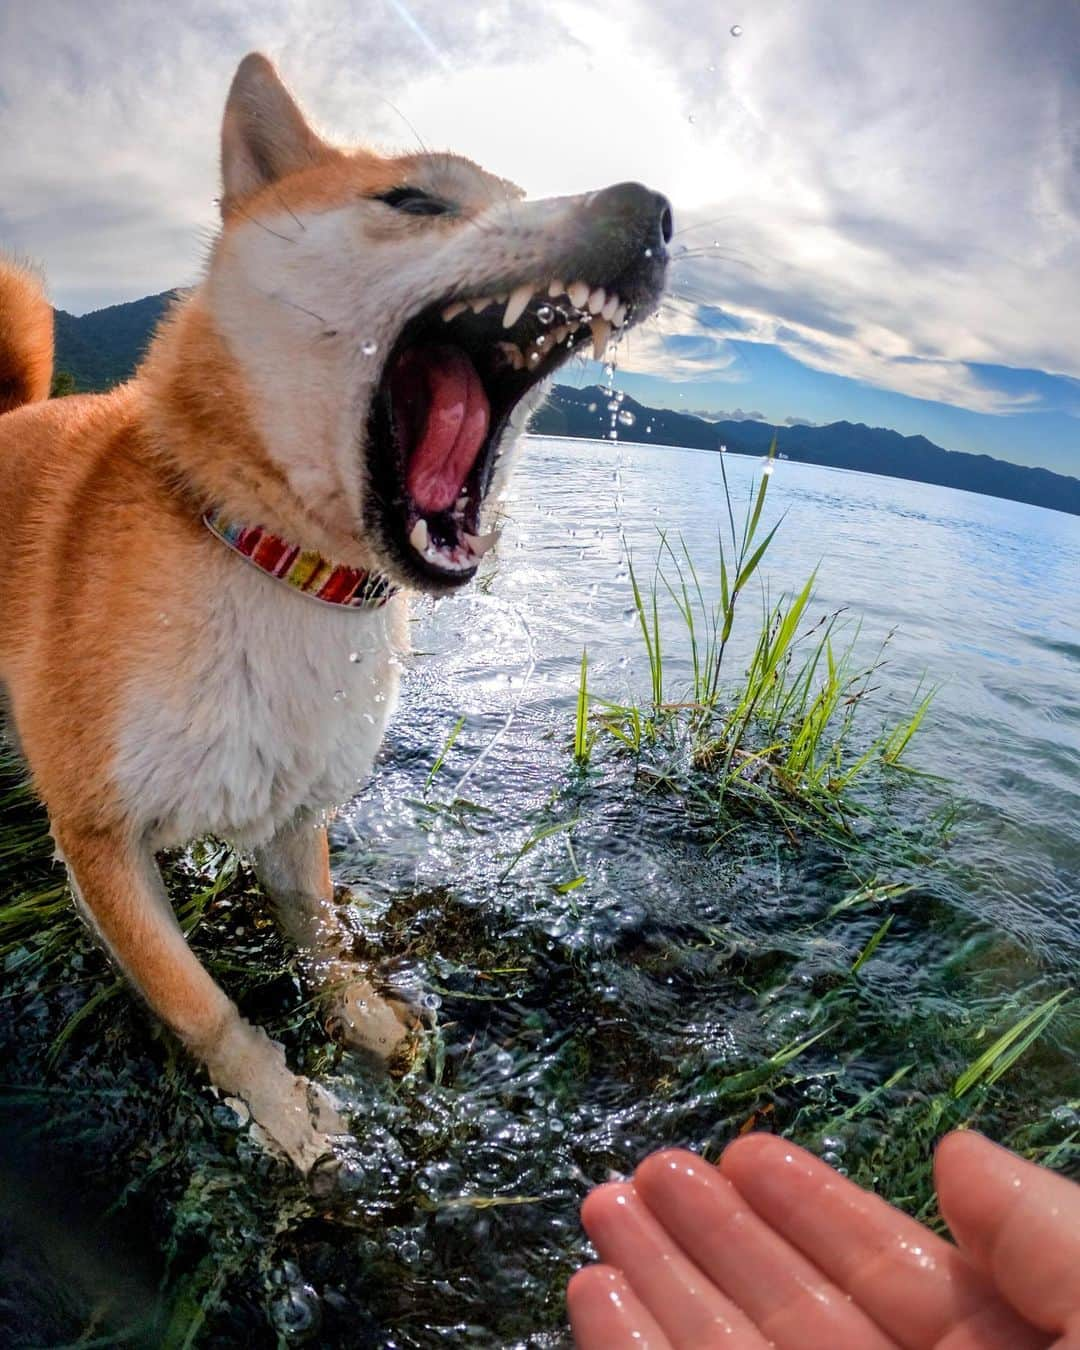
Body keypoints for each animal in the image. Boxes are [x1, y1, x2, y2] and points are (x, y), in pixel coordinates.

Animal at [0, 49, 669, 1171]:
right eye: (415, 200)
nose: (652, 208)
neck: (275, 565)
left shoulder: (291, 812)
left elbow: (320, 943)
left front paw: (365, 1025)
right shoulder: (97, 835)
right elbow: (202, 1007)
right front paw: (284, 1113)